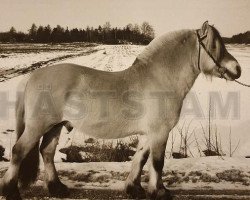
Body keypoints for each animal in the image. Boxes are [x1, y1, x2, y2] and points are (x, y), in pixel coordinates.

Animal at [0, 21, 242, 199]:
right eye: (214, 46)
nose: (237, 69)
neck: (159, 79)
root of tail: (33, 75)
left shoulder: (149, 134)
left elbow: (140, 158)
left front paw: (134, 189)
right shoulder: (160, 133)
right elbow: (157, 162)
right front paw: (160, 192)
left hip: (55, 125)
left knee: (47, 153)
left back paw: (57, 188)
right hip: (38, 125)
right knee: (19, 151)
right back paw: (11, 191)